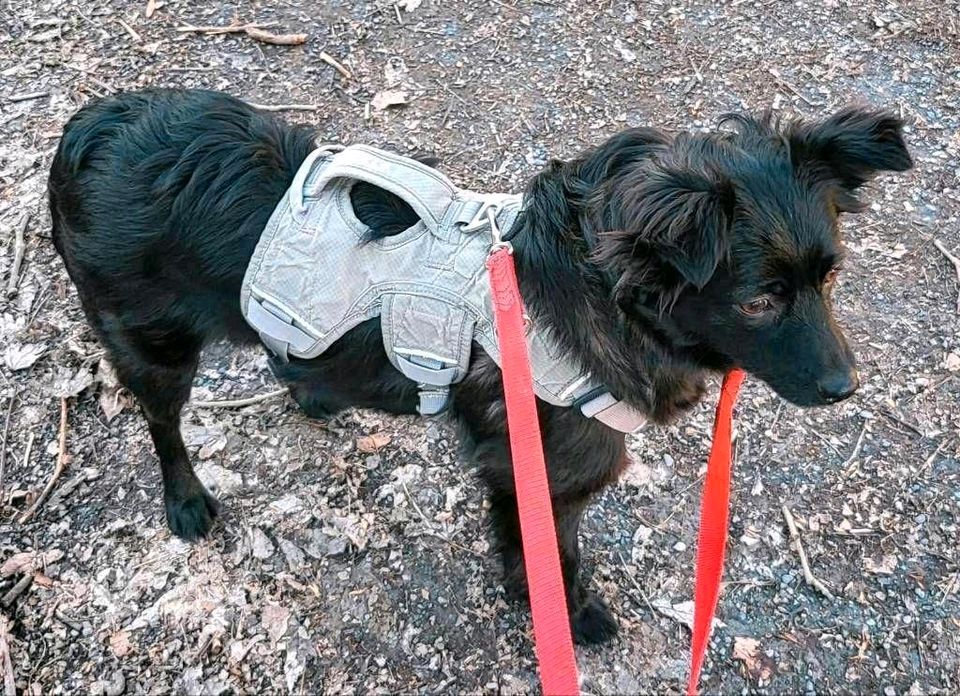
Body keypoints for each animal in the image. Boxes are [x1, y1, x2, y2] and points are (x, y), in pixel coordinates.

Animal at [50, 89, 908, 644]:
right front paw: (568, 615)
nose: (847, 387)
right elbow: (552, 553)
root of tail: (88, 127)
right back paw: (186, 500)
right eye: (760, 301)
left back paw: (315, 393)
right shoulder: (536, 471)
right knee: (162, 423)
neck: (596, 291)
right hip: (153, 345)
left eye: (830, 276)